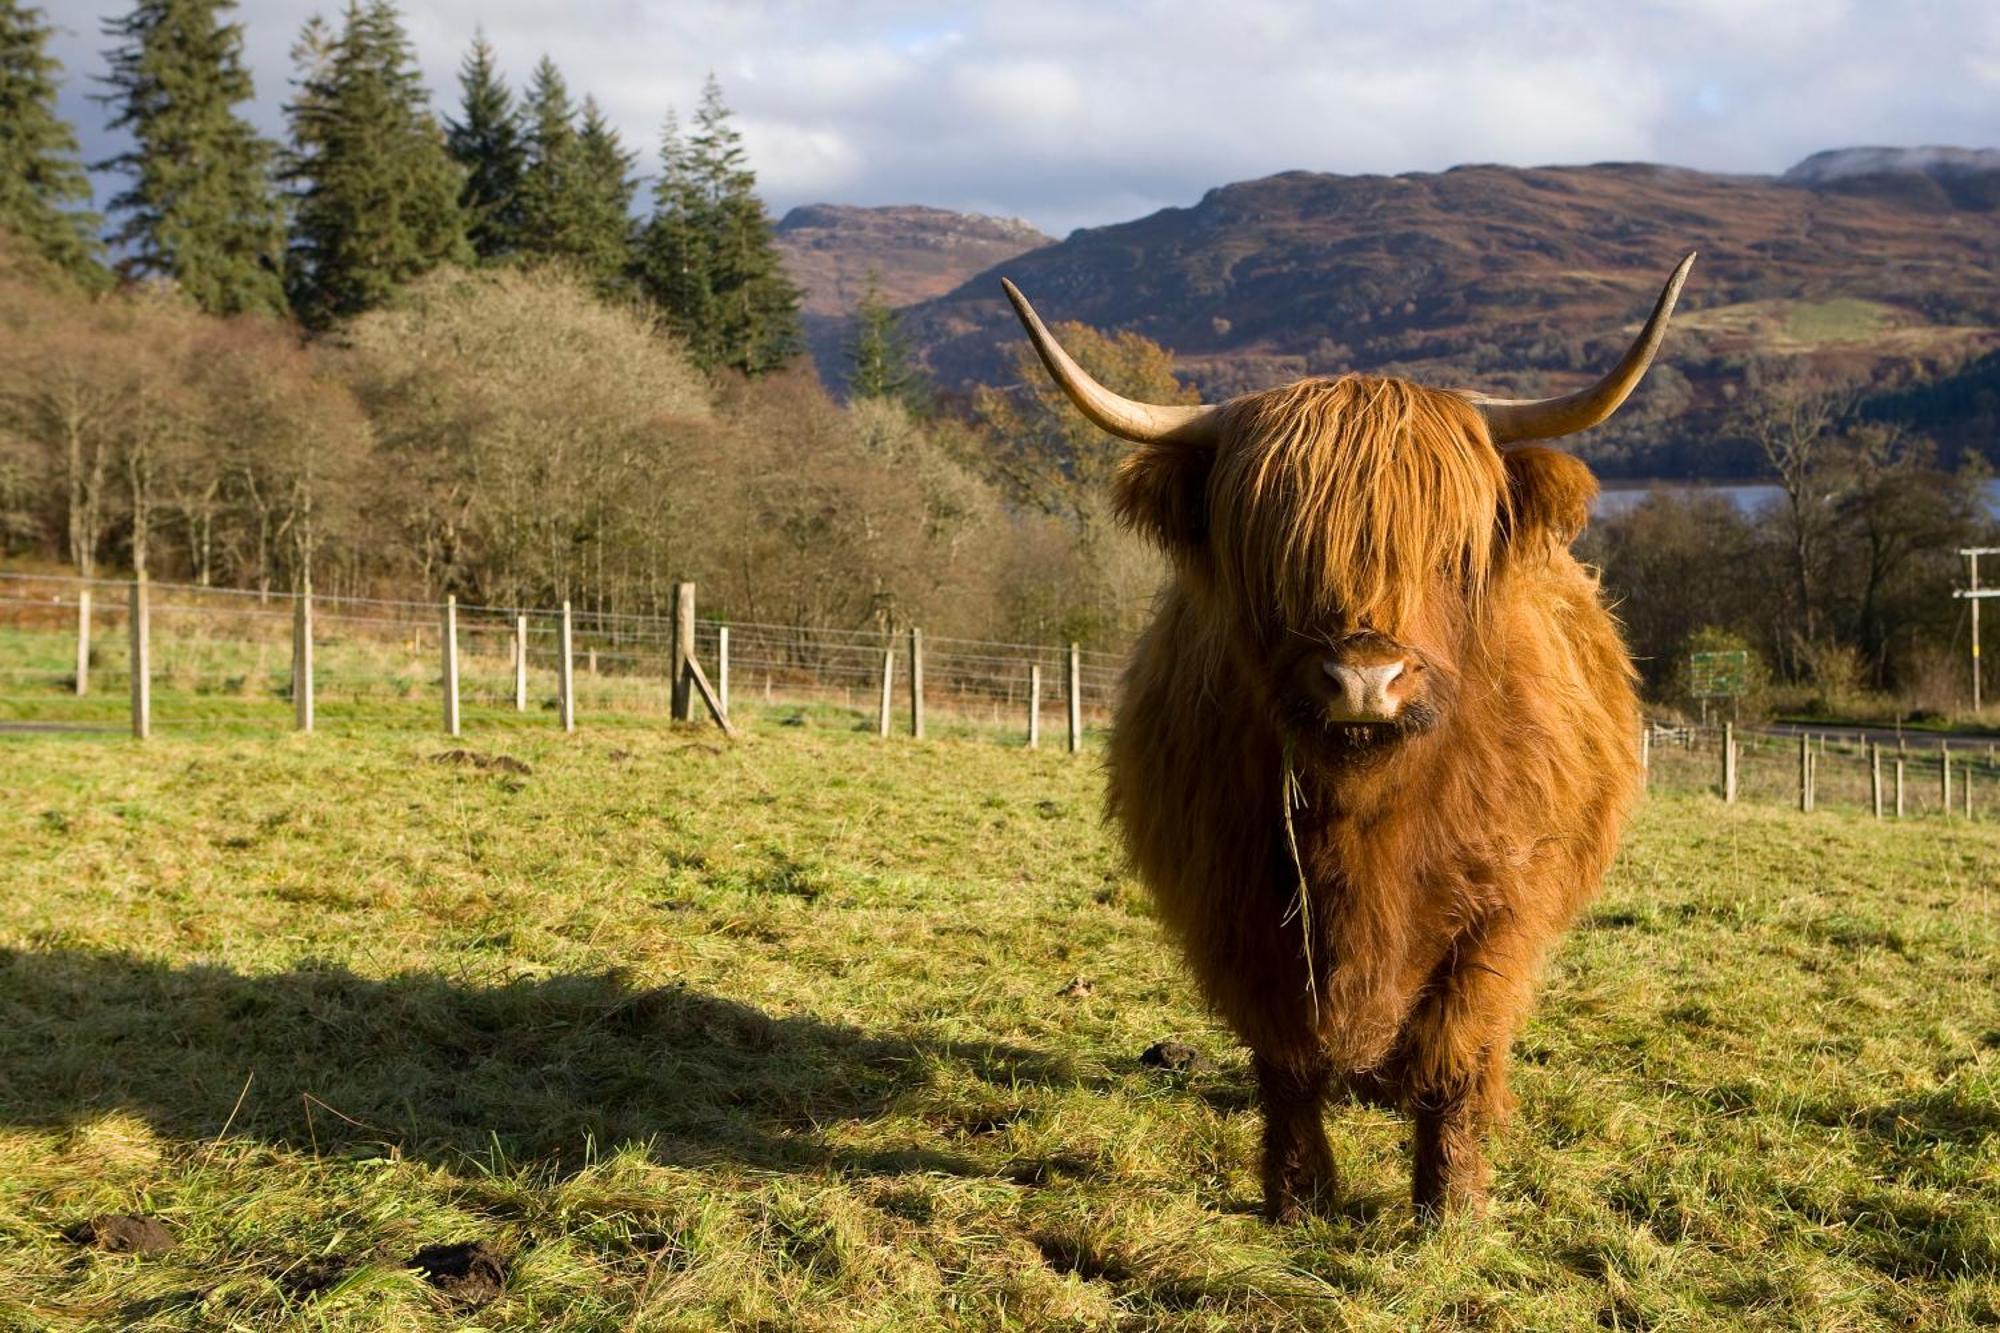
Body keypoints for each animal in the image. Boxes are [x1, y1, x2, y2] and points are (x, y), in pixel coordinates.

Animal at [1000, 254, 1688, 1216]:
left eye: (1450, 551)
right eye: (1273, 554)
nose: (1365, 679)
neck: (1367, 818)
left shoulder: (1498, 912)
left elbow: (1451, 1048)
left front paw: (1451, 1202)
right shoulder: (1239, 910)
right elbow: (1286, 1060)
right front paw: (1299, 1194)